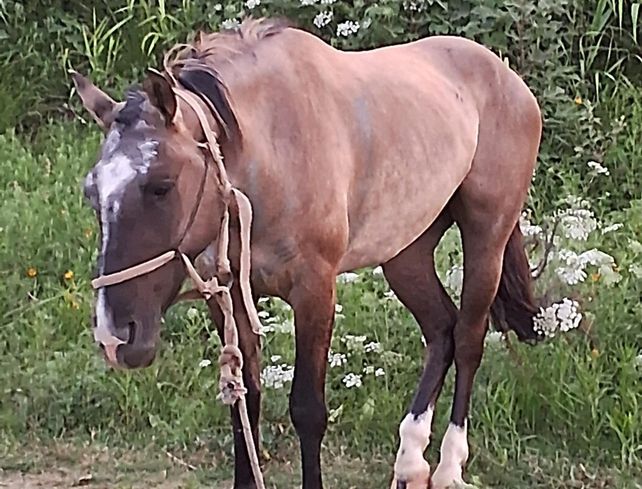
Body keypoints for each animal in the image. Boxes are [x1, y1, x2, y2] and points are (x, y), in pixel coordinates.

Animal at [72, 18, 543, 489]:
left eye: (161, 185)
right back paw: (410, 461)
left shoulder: (314, 292)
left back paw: (448, 466)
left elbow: (308, 410)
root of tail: (506, 77)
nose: (115, 337)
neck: (270, 151)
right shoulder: (228, 298)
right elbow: (244, 403)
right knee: (441, 330)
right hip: (405, 253)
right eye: (92, 193)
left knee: (467, 339)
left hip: (487, 238)